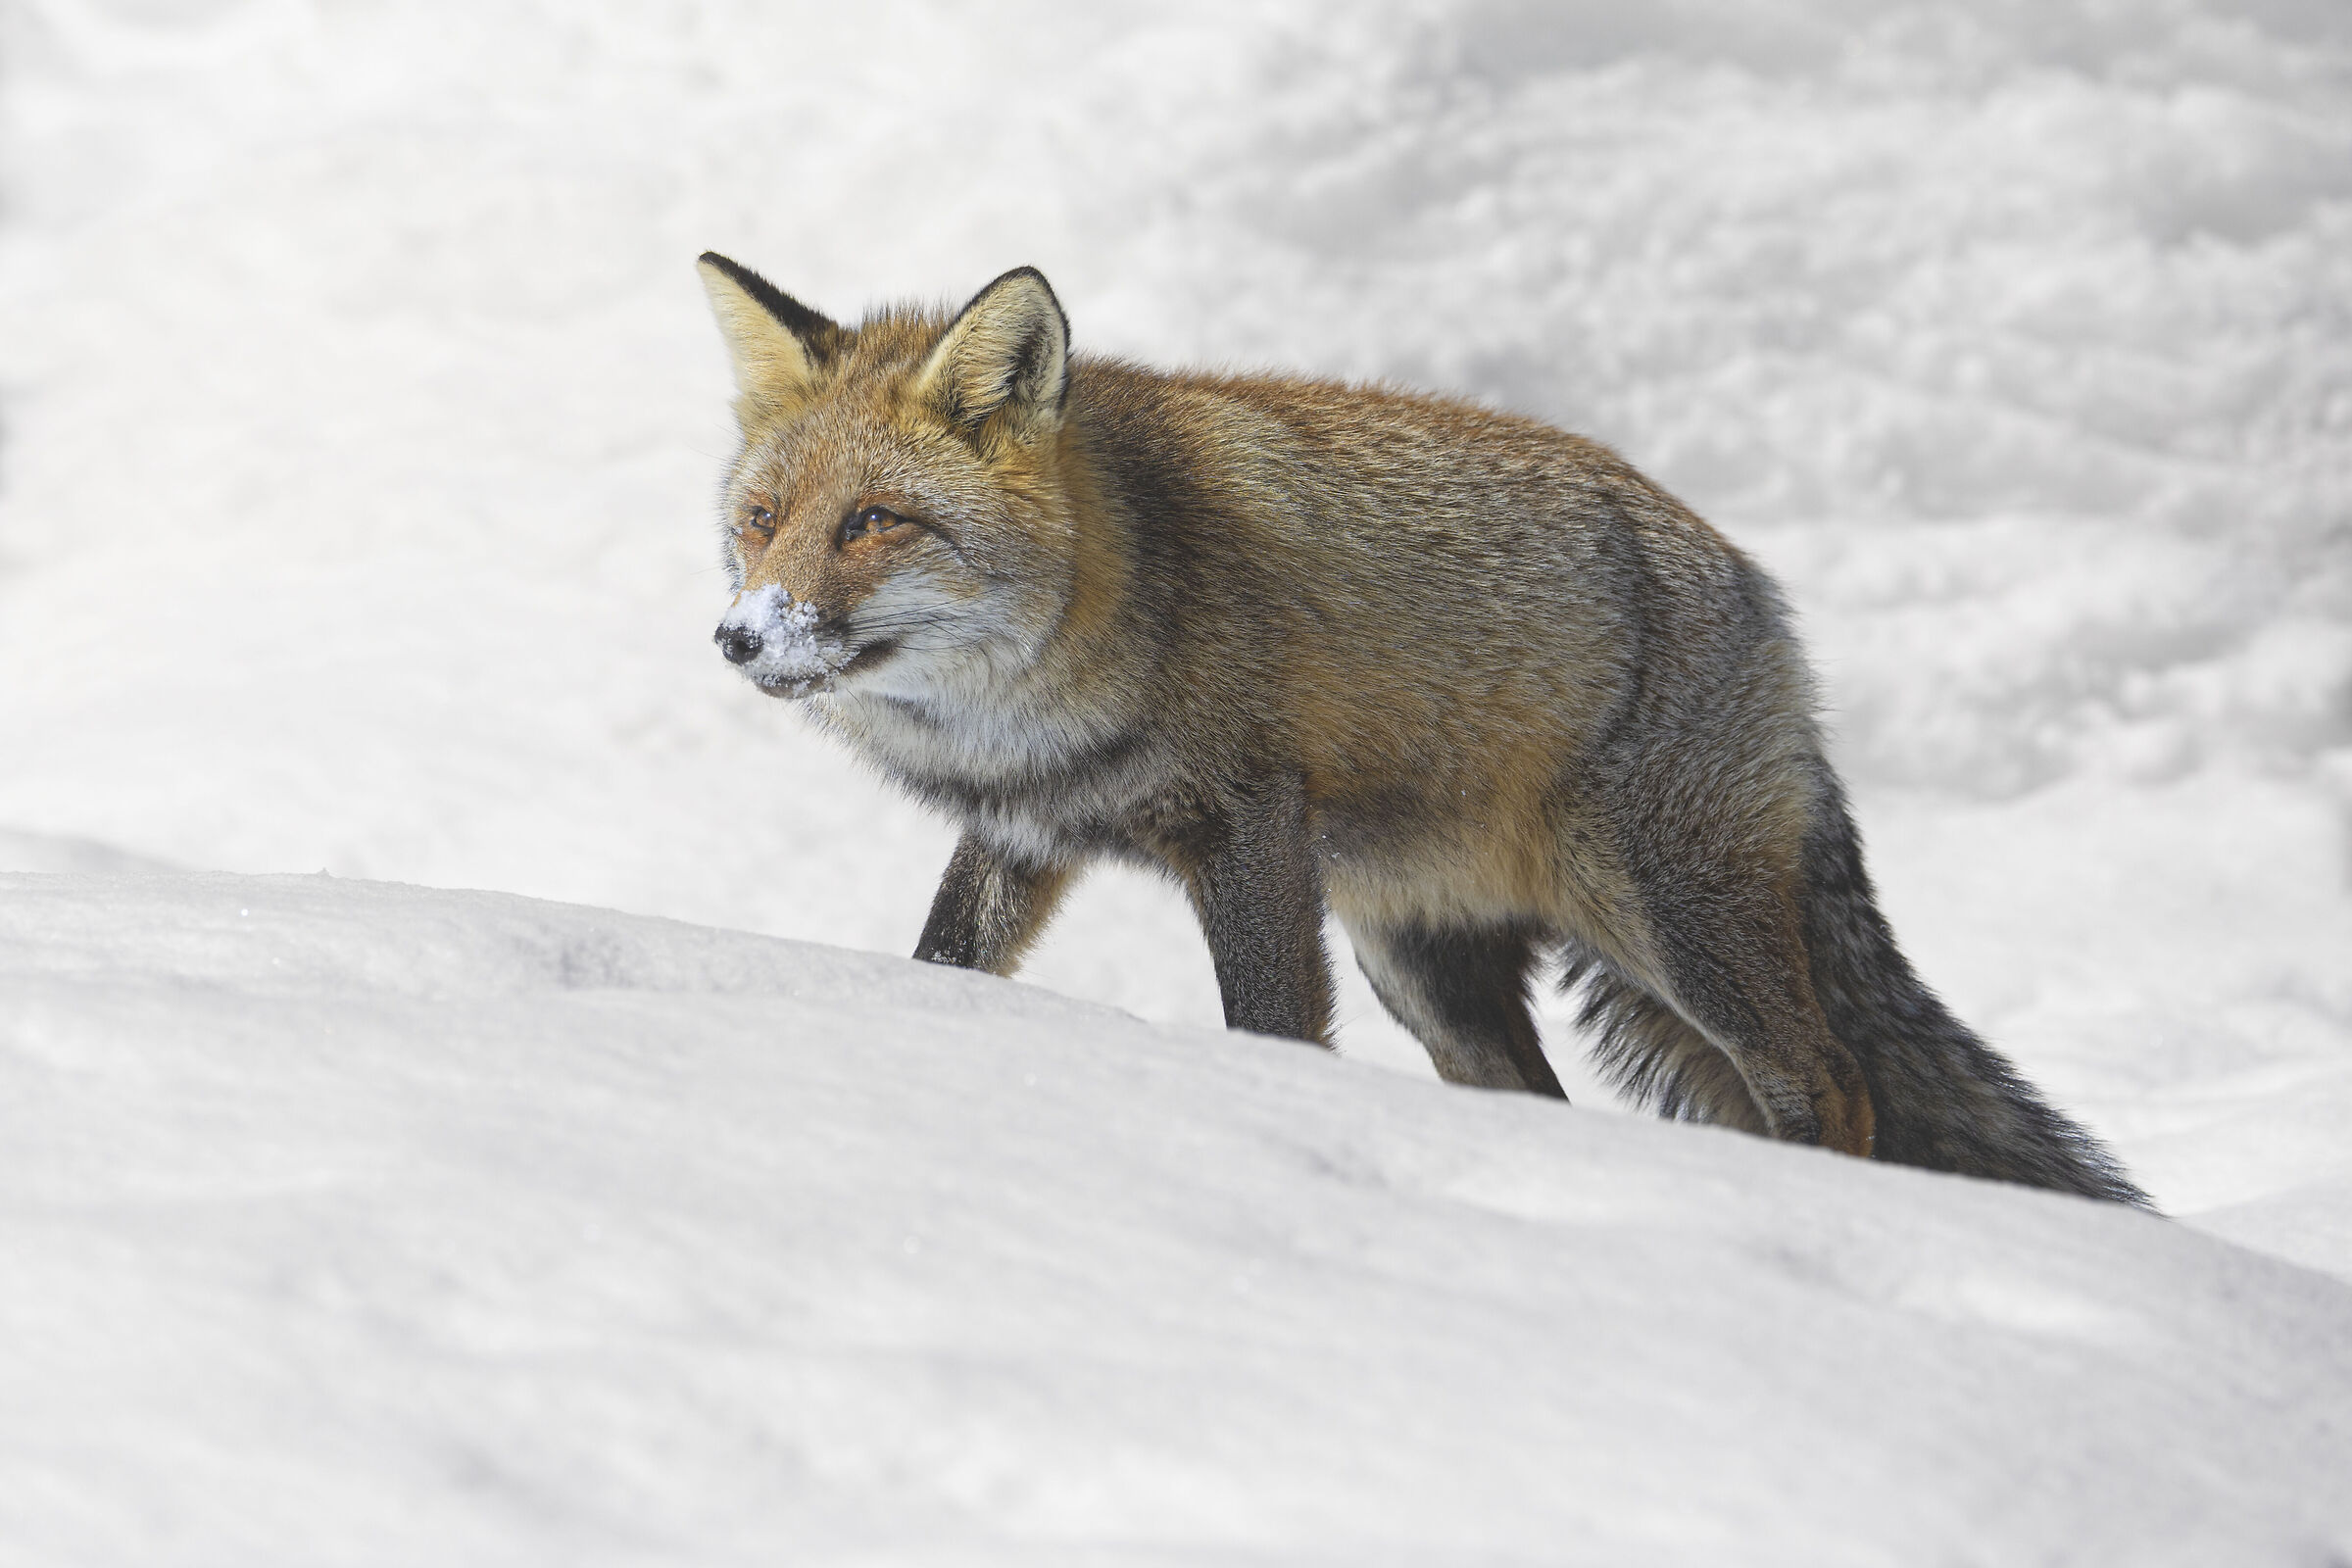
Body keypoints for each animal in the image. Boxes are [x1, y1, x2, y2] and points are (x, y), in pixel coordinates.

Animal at [695, 251, 2147, 1205]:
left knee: (1832, 1079)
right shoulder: (1024, 833)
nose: (742, 636)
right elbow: (943, 963)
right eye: (762, 521)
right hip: (1426, 973)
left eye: (873, 522)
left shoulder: (1248, 828)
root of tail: (1758, 593)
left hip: (1672, 926)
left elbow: (1270, 1030)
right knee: (1548, 1103)